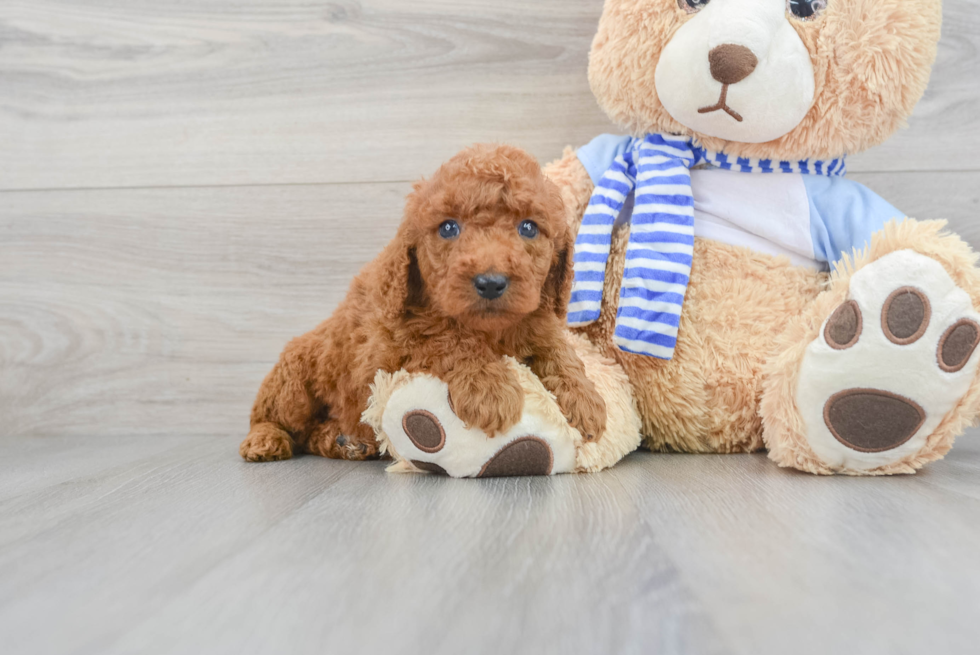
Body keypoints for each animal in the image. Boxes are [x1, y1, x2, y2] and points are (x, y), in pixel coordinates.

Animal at [241, 145, 604, 462]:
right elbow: (449, 338)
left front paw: (585, 399)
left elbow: (558, 350)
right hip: (294, 380)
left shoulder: (538, 320)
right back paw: (265, 440)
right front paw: (490, 390)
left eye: (528, 227)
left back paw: (345, 441)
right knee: (273, 417)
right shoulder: (390, 345)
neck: (490, 329)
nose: (490, 282)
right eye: (448, 228)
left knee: (312, 433)